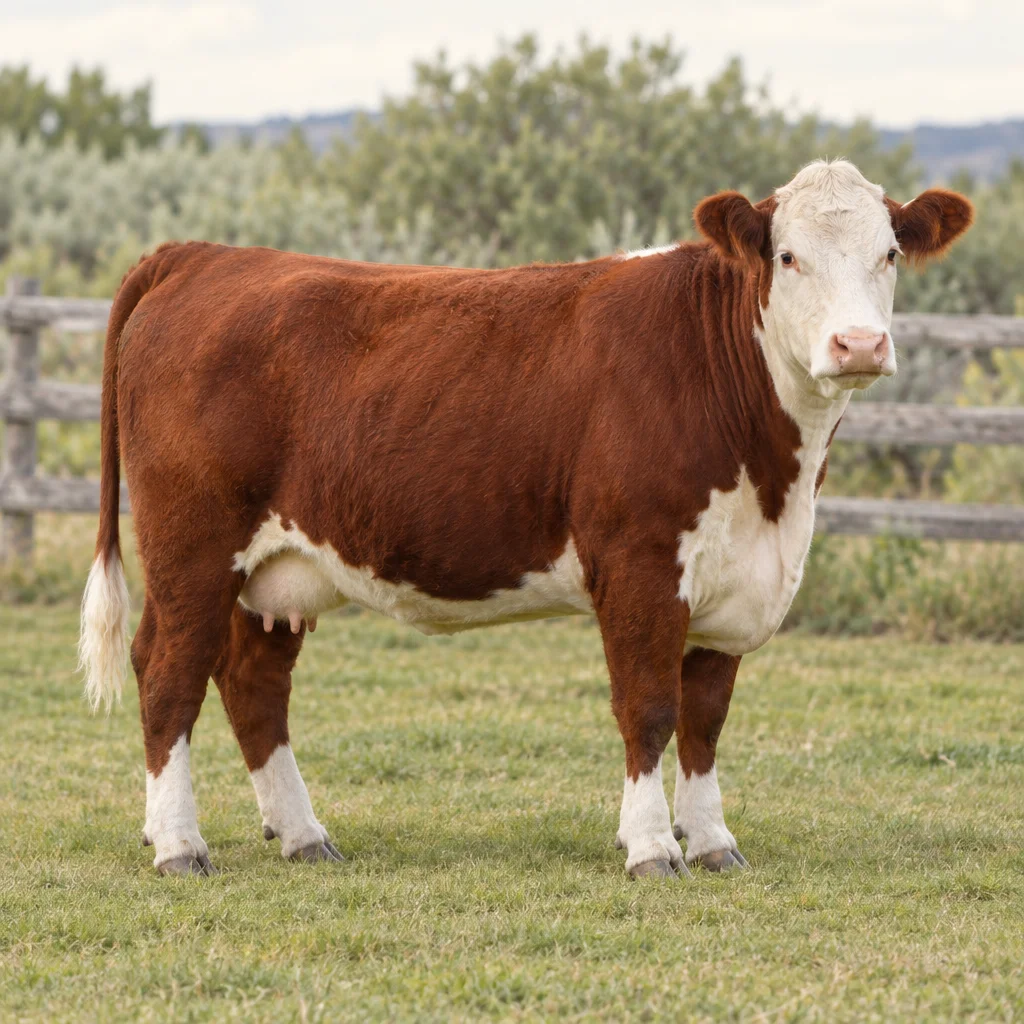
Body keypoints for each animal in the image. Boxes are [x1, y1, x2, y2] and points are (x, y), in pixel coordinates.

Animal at [79, 160, 972, 878]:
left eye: (889, 255)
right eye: (788, 257)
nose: (859, 344)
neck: (776, 488)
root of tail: (206, 255)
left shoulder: (733, 580)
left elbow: (706, 720)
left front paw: (714, 842)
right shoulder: (641, 565)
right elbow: (649, 708)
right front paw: (653, 848)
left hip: (276, 568)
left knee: (253, 682)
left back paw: (302, 835)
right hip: (191, 546)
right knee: (167, 672)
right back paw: (179, 845)